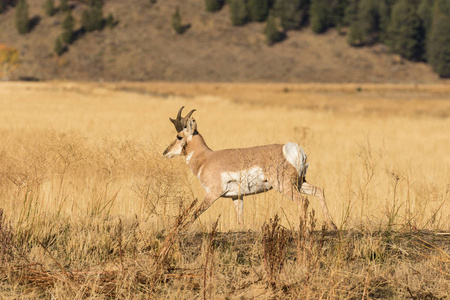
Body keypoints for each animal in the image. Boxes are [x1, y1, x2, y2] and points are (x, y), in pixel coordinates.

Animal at [163, 106, 338, 230]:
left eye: (179, 136)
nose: (165, 152)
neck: (207, 158)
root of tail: (293, 148)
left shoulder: (212, 194)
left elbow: (195, 213)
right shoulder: (236, 197)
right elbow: (240, 220)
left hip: (285, 186)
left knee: (303, 201)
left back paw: (301, 228)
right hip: (300, 183)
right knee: (319, 191)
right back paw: (332, 225)